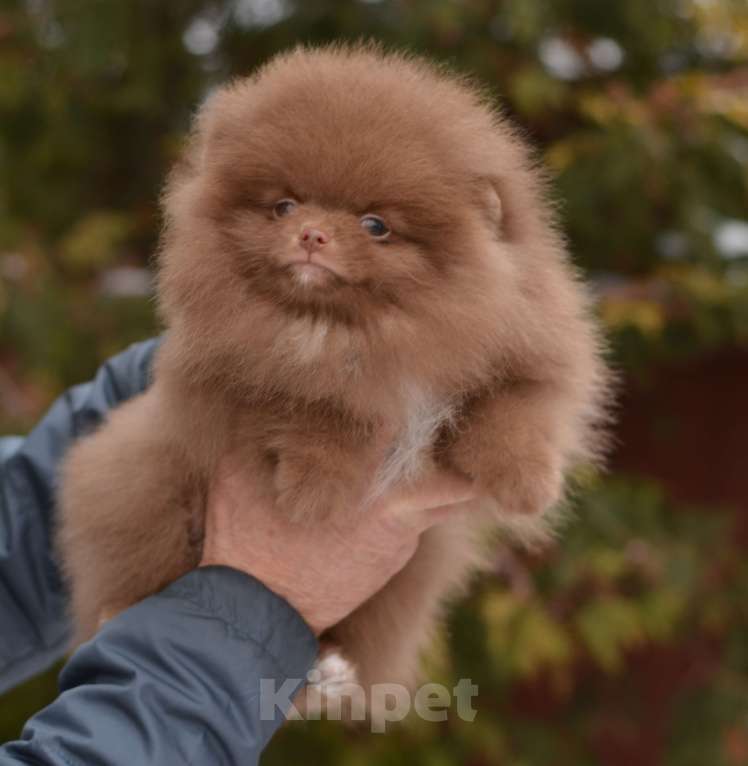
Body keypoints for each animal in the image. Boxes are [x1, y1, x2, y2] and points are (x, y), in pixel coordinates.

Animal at [57, 45, 608, 708]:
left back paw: (329, 668)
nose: (312, 232)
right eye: (284, 205)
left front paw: (525, 482)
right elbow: (318, 407)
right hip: (137, 473)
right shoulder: (235, 377)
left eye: (375, 224)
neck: (350, 333)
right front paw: (318, 489)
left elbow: (513, 408)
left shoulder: (523, 343)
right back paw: (118, 614)